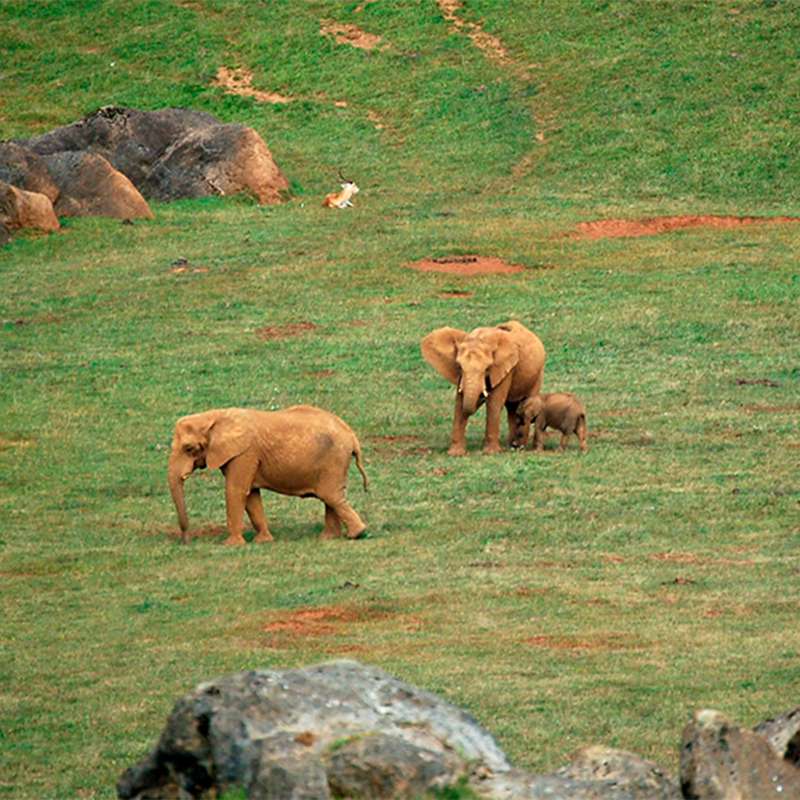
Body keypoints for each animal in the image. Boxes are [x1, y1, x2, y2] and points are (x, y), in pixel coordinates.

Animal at [167, 405, 368, 545]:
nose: (186, 542)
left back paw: (356, 535)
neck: (214, 416)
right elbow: (251, 495)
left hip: (334, 460)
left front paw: (230, 545)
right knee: (330, 498)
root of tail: (352, 435)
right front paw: (263, 541)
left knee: (330, 496)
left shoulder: (244, 453)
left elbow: (236, 490)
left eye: (189, 449)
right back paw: (328, 538)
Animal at [421, 320, 546, 455]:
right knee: (512, 408)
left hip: (537, 374)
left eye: (487, 368)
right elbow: (459, 402)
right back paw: (511, 446)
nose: (481, 396)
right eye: (459, 366)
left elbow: (494, 403)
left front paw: (490, 452)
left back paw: (519, 447)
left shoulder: (505, 368)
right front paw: (456, 454)